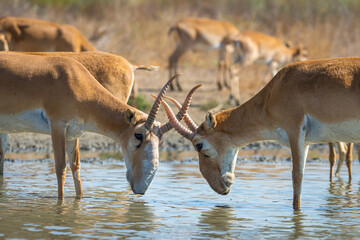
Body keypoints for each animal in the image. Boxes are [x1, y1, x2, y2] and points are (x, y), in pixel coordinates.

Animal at [0, 52, 177, 197]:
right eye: (138, 135)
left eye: (160, 142)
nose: (141, 188)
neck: (73, 79)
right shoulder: (57, 125)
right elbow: (60, 167)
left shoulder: (72, 133)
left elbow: (76, 167)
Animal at [162, 57, 360, 209]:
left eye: (199, 145)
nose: (219, 187)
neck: (274, 92)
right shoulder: (306, 142)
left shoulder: (295, 131)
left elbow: (297, 177)